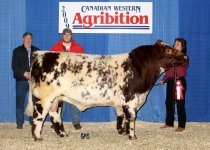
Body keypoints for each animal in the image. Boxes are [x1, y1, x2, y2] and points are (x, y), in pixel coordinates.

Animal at [25, 40, 188, 141]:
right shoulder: (130, 100)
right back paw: (38, 137)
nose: (186, 56)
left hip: (57, 98)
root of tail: (40, 54)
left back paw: (63, 134)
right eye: (168, 49)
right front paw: (132, 137)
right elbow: (131, 119)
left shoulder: (123, 103)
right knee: (38, 117)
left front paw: (122, 132)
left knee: (55, 116)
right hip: (43, 98)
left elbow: (122, 118)